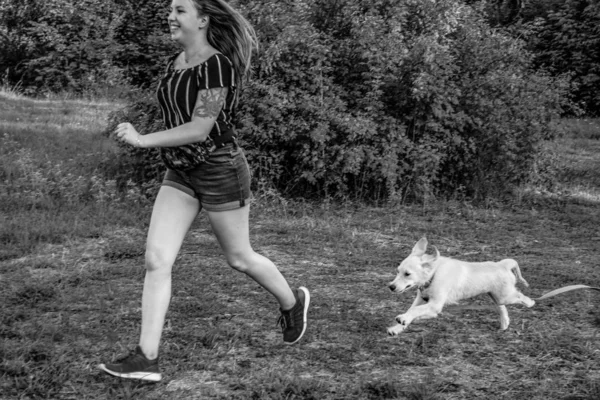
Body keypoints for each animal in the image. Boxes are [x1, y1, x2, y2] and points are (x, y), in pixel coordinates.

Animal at [386, 238, 536, 334]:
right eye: (398, 271)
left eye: (407, 274)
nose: (391, 287)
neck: (434, 274)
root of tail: (502, 264)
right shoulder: (421, 300)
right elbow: (411, 310)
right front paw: (397, 328)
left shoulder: (434, 306)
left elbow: (414, 311)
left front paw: (403, 319)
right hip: (496, 296)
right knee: (502, 308)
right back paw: (504, 324)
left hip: (506, 296)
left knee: (521, 297)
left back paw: (531, 303)